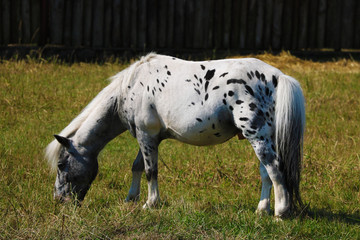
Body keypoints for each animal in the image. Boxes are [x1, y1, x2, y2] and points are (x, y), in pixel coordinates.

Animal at [44, 53, 304, 218]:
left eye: (61, 164)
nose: (59, 201)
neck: (130, 87)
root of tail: (278, 76)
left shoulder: (146, 136)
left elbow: (151, 171)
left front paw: (150, 204)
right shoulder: (147, 137)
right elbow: (137, 167)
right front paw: (131, 199)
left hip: (257, 136)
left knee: (274, 169)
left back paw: (280, 212)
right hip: (262, 137)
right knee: (265, 173)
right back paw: (261, 210)